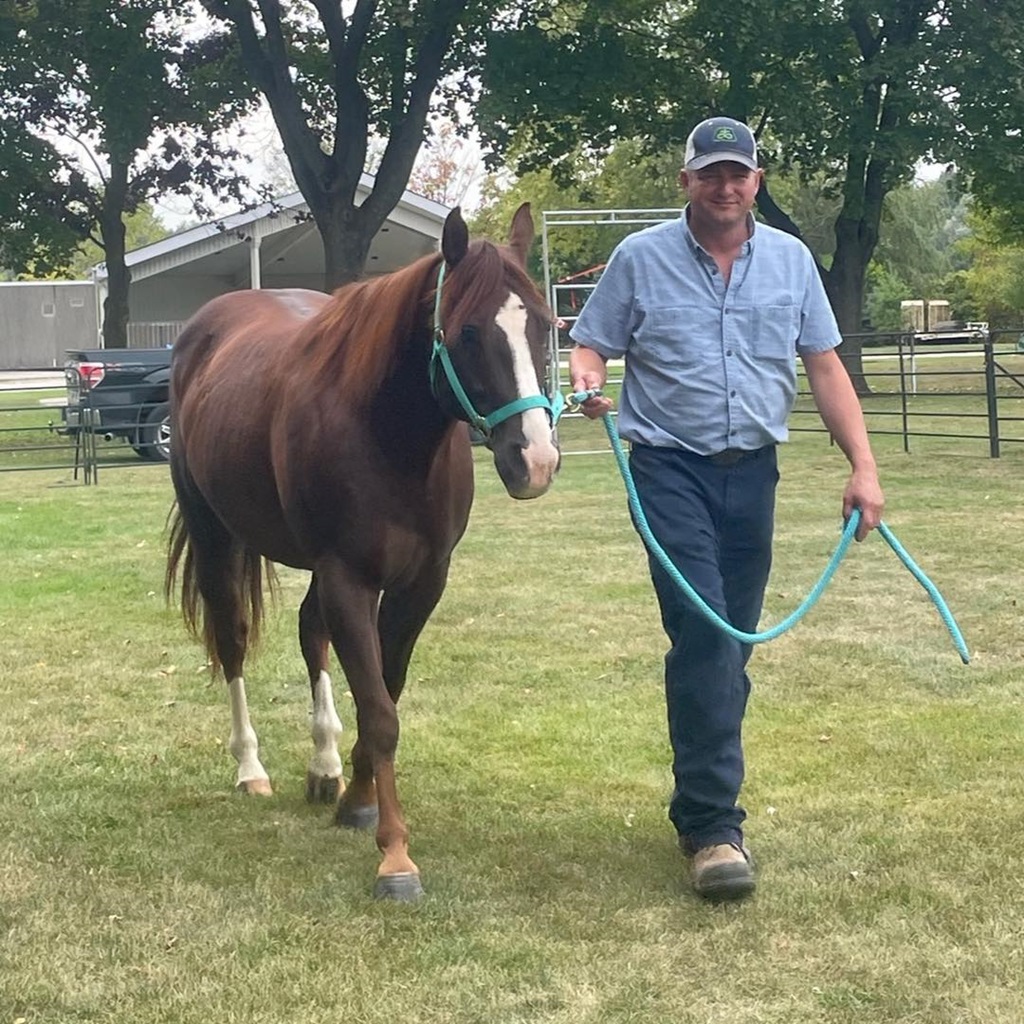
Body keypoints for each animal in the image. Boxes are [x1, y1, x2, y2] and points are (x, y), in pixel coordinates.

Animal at [165, 204, 561, 900]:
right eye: (467, 333)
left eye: (543, 323)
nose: (534, 461)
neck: (387, 432)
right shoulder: (348, 577)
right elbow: (379, 713)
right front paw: (395, 855)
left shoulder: (420, 582)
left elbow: (387, 690)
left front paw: (356, 796)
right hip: (215, 536)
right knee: (233, 640)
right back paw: (250, 768)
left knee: (309, 633)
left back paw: (323, 765)